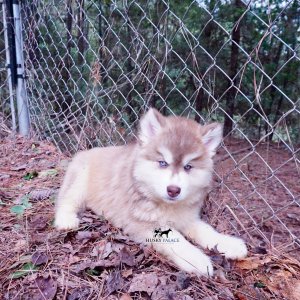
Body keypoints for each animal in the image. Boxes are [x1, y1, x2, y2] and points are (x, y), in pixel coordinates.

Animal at [55, 108, 247, 276]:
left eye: (188, 167)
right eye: (163, 163)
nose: (173, 190)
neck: (167, 206)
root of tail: (84, 151)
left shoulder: (186, 217)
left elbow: (206, 230)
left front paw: (229, 243)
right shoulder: (142, 223)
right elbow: (177, 240)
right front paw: (196, 259)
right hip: (79, 182)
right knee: (65, 201)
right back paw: (66, 220)